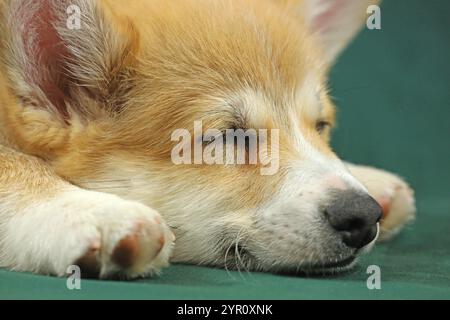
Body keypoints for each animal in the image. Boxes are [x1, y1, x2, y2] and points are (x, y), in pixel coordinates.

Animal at [0, 0, 414, 278]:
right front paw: (93, 211)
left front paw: (372, 181)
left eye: (321, 125)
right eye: (229, 136)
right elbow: (14, 163)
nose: (363, 215)